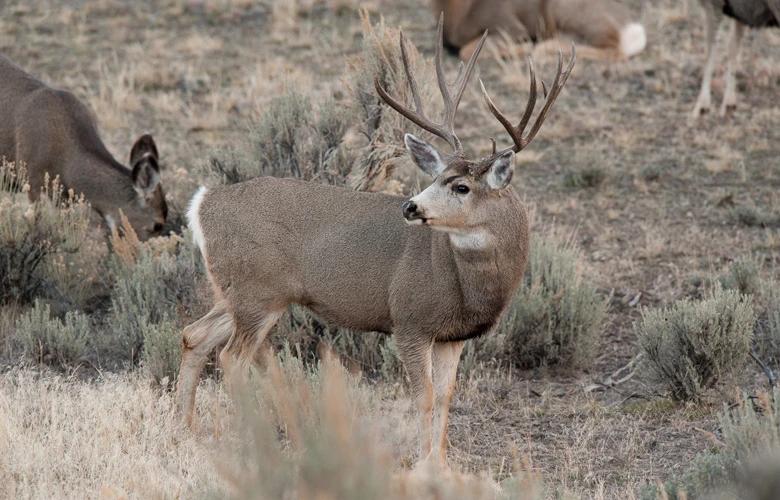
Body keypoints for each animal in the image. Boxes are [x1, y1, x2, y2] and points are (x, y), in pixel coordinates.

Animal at [177, 17, 576, 466]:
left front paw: (441, 464)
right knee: (231, 359)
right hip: (256, 294)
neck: (466, 285)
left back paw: (182, 430)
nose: (411, 206)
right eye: (438, 178)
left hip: (241, 294)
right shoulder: (410, 320)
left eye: (460, 186)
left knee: (194, 335)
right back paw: (253, 447)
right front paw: (422, 465)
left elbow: (446, 398)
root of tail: (203, 204)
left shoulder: (453, 337)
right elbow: (423, 398)